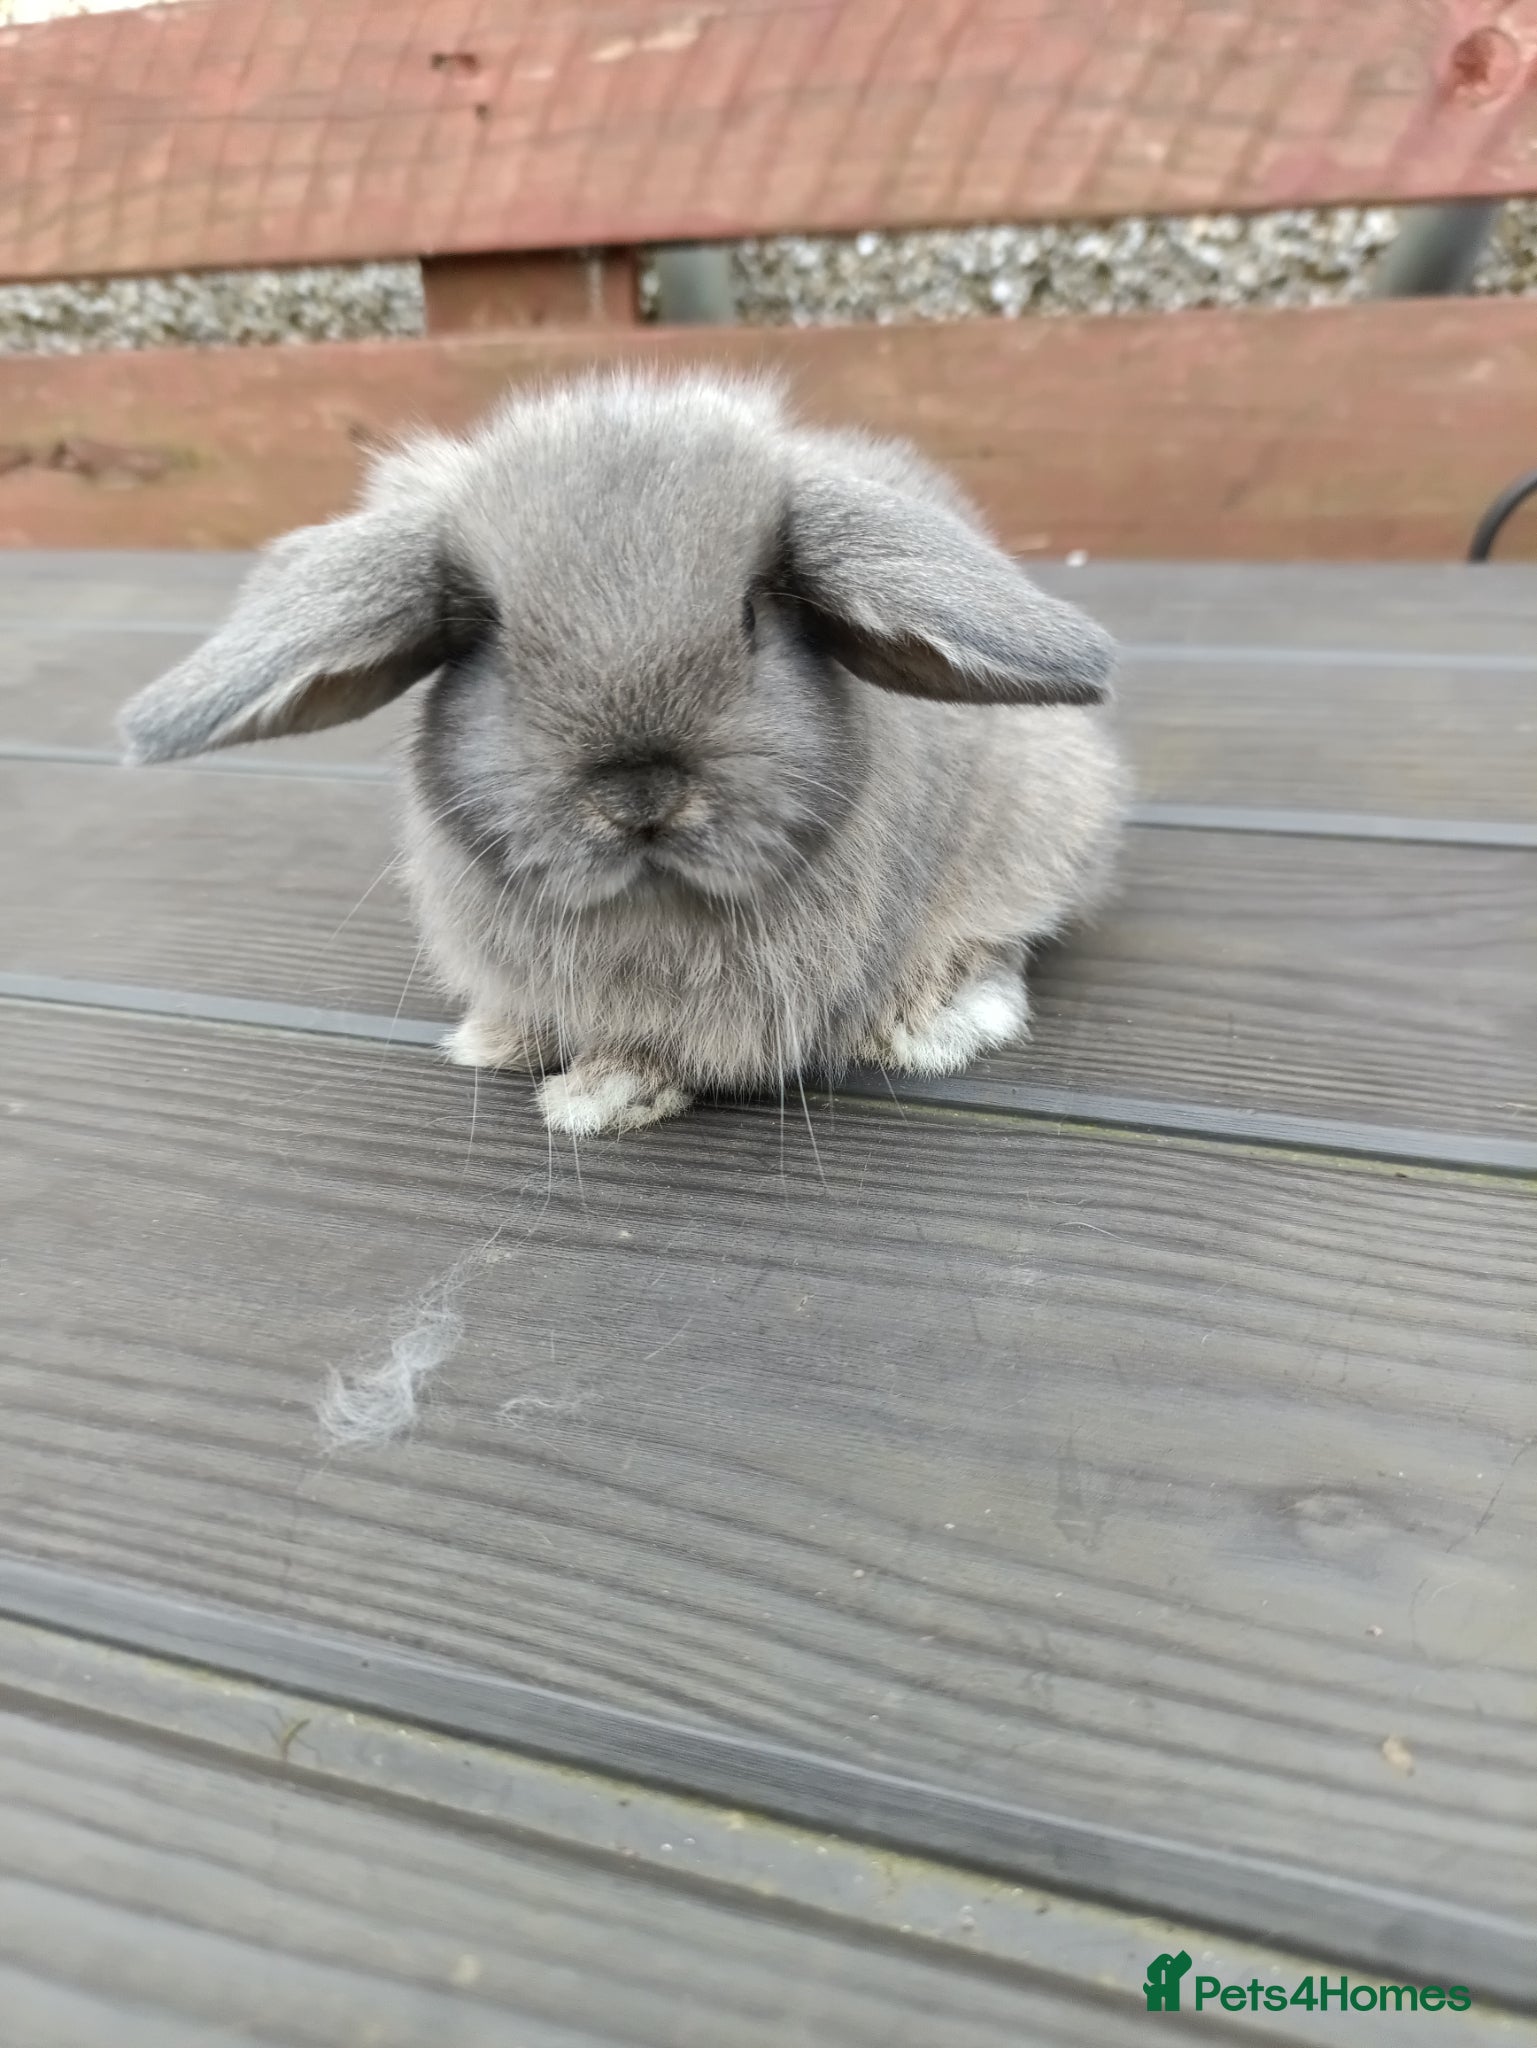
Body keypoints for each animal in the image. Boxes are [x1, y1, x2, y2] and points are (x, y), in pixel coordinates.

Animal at [118, 371, 1125, 1136]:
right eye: (488, 637)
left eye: (753, 616)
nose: (639, 796)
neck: (648, 907)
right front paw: (498, 1040)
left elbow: (653, 1053)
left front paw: (598, 1096)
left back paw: (936, 1016)